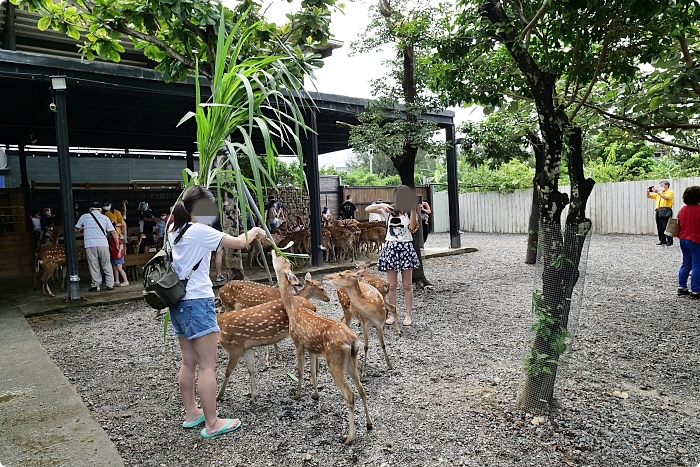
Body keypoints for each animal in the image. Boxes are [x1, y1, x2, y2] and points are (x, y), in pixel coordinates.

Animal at [272, 252, 372, 446]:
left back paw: (349, 437)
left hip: (334, 360)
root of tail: (352, 341)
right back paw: (369, 424)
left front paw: (297, 395)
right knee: (362, 389)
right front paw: (316, 395)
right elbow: (313, 371)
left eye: (284, 260)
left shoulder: (298, 342)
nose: (273, 251)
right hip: (351, 361)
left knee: (350, 394)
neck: (292, 309)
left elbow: (301, 371)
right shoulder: (311, 348)